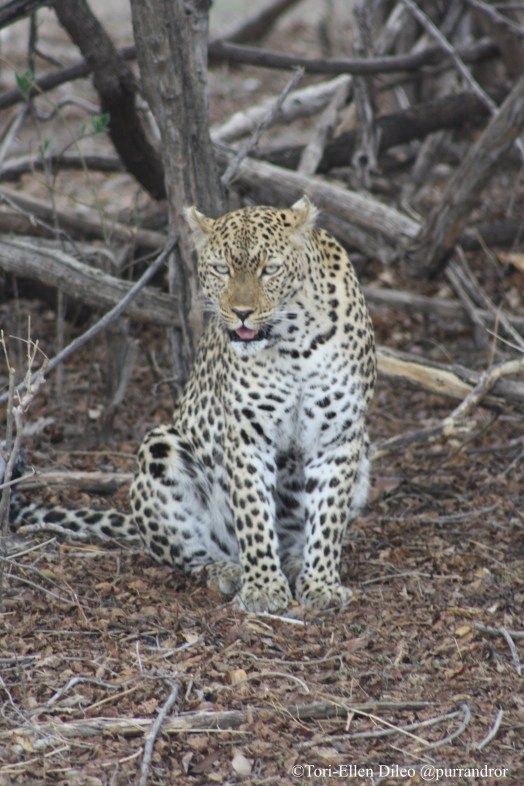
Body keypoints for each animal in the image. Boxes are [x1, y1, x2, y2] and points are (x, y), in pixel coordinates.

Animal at [5, 197, 376, 613]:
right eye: (221, 269)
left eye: (269, 269)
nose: (242, 312)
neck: (294, 343)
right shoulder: (247, 436)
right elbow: (254, 516)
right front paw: (262, 587)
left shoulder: (338, 438)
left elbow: (328, 518)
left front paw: (322, 583)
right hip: (161, 447)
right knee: (190, 553)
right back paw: (227, 570)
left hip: (365, 458)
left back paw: (294, 564)